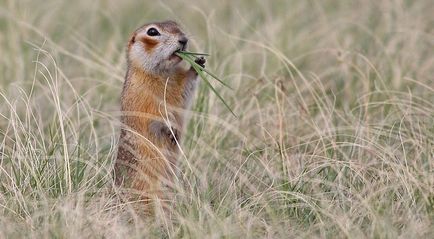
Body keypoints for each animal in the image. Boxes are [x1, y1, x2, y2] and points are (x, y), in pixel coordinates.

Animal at [113, 20, 205, 210]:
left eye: (176, 24)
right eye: (152, 32)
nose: (184, 39)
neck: (164, 72)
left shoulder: (178, 83)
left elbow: (185, 88)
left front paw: (198, 63)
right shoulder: (145, 97)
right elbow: (155, 115)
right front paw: (170, 128)